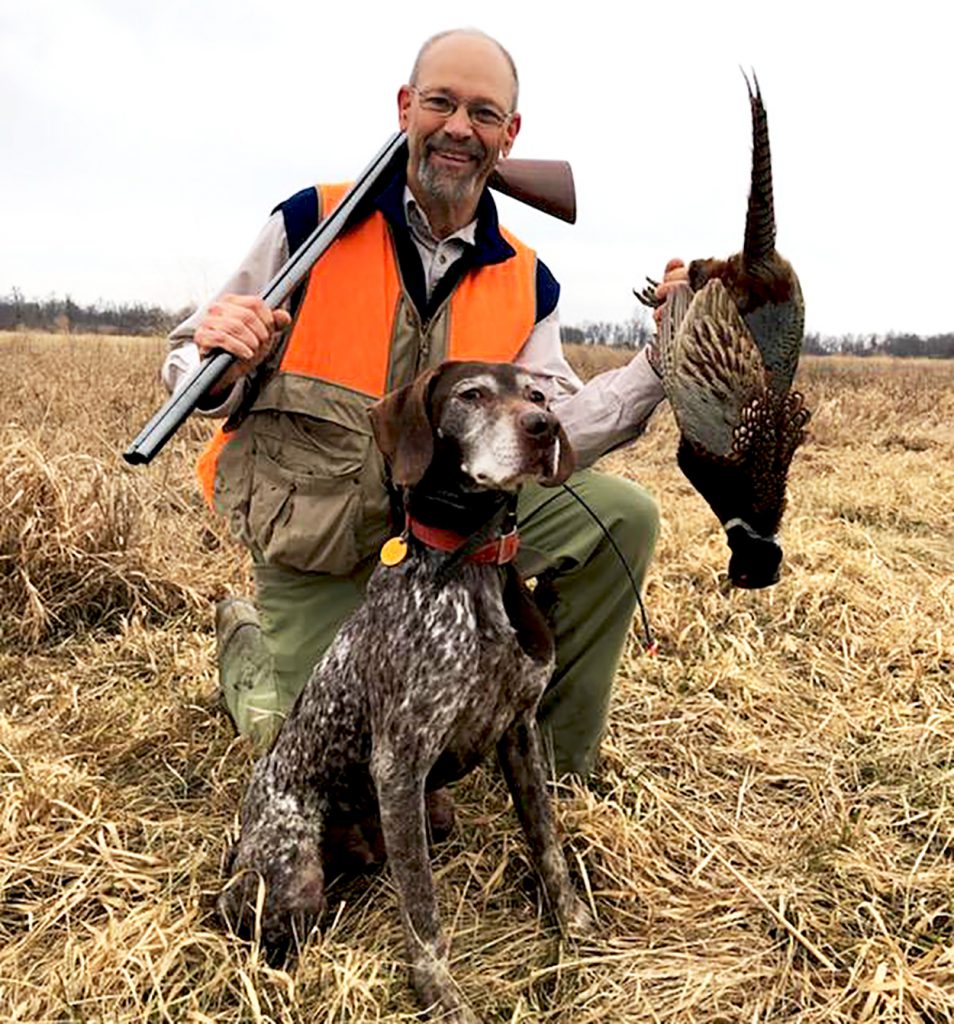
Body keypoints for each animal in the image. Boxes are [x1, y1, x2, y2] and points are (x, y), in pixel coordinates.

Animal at [220, 362, 593, 1024]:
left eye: (538, 395)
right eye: (471, 395)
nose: (542, 427)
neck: (472, 562)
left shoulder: (521, 730)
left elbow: (547, 842)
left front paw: (574, 925)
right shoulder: (400, 763)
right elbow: (421, 904)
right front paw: (439, 992)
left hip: (431, 813)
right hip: (293, 877)